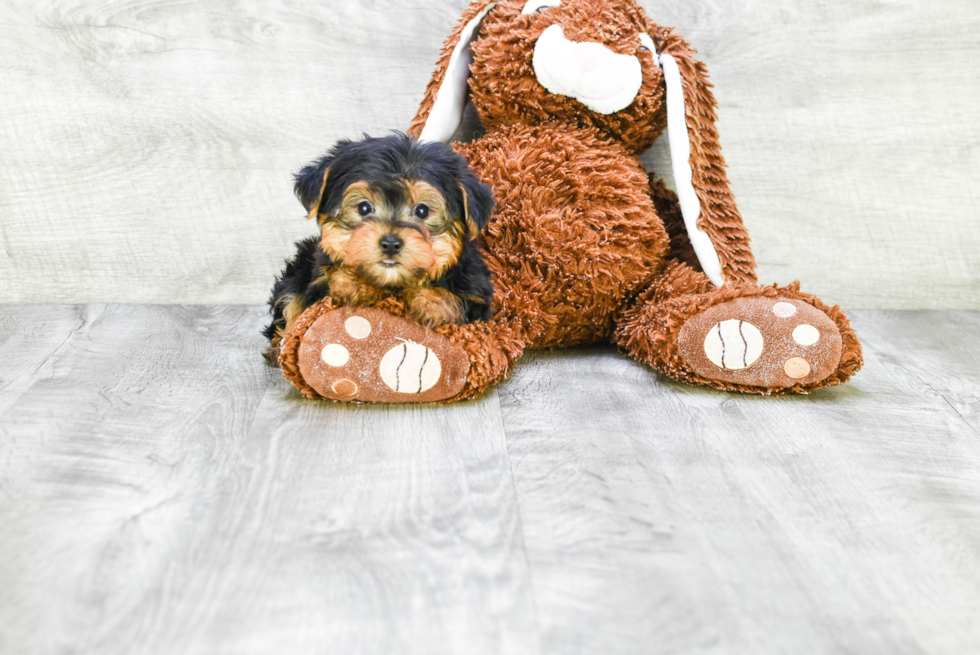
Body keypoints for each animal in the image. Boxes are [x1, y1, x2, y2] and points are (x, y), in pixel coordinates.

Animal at [264, 133, 494, 364]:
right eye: (364, 208)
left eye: (422, 211)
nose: (391, 243)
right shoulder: (317, 286)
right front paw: (354, 282)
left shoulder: (478, 295)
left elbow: (460, 300)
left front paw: (433, 301)